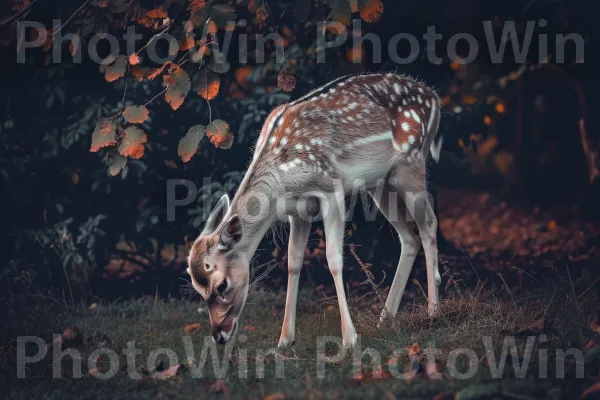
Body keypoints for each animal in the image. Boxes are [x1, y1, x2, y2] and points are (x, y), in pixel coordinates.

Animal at [188, 72, 446, 346]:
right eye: (198, 289)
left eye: (222, 285)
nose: (219, 335)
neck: (282, 181)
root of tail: (434, 97)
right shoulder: (297, 210)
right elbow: (293, 262)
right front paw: (285, 339)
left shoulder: (330, 189)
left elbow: (333, 259)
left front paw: (350, 338)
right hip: (380, 182)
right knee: (409, 236)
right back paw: (385, 319)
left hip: (412, 161)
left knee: (429, 224)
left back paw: (433, 311)